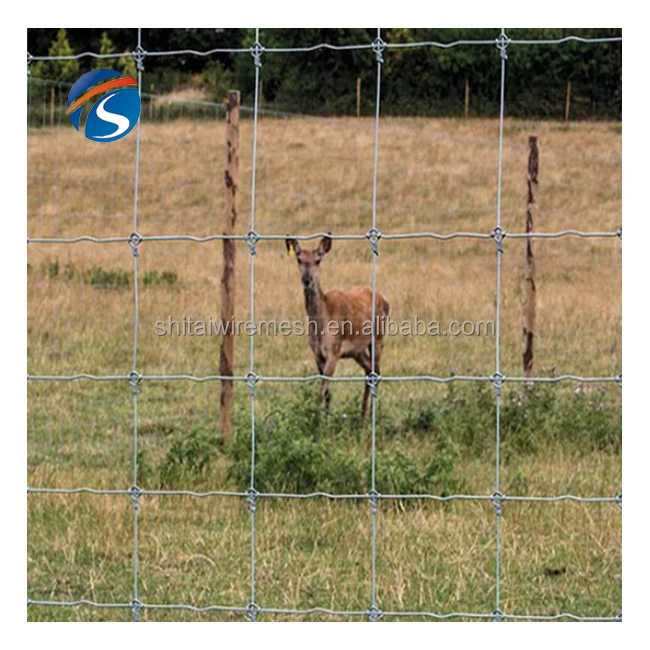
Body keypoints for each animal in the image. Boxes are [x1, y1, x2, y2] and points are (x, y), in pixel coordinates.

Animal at [285, 235, 389, 419]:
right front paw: (325, 417)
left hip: (378, 338)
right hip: (357, 350)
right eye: (299, 259)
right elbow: (327, 392)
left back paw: (370, 415)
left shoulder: (334, 350)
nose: (307, 279)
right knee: (369, 370)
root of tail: (386, 301)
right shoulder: (317, 353)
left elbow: (322, 391)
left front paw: (316, 420)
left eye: (318, 260)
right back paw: (362, 416)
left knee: (376, 372)